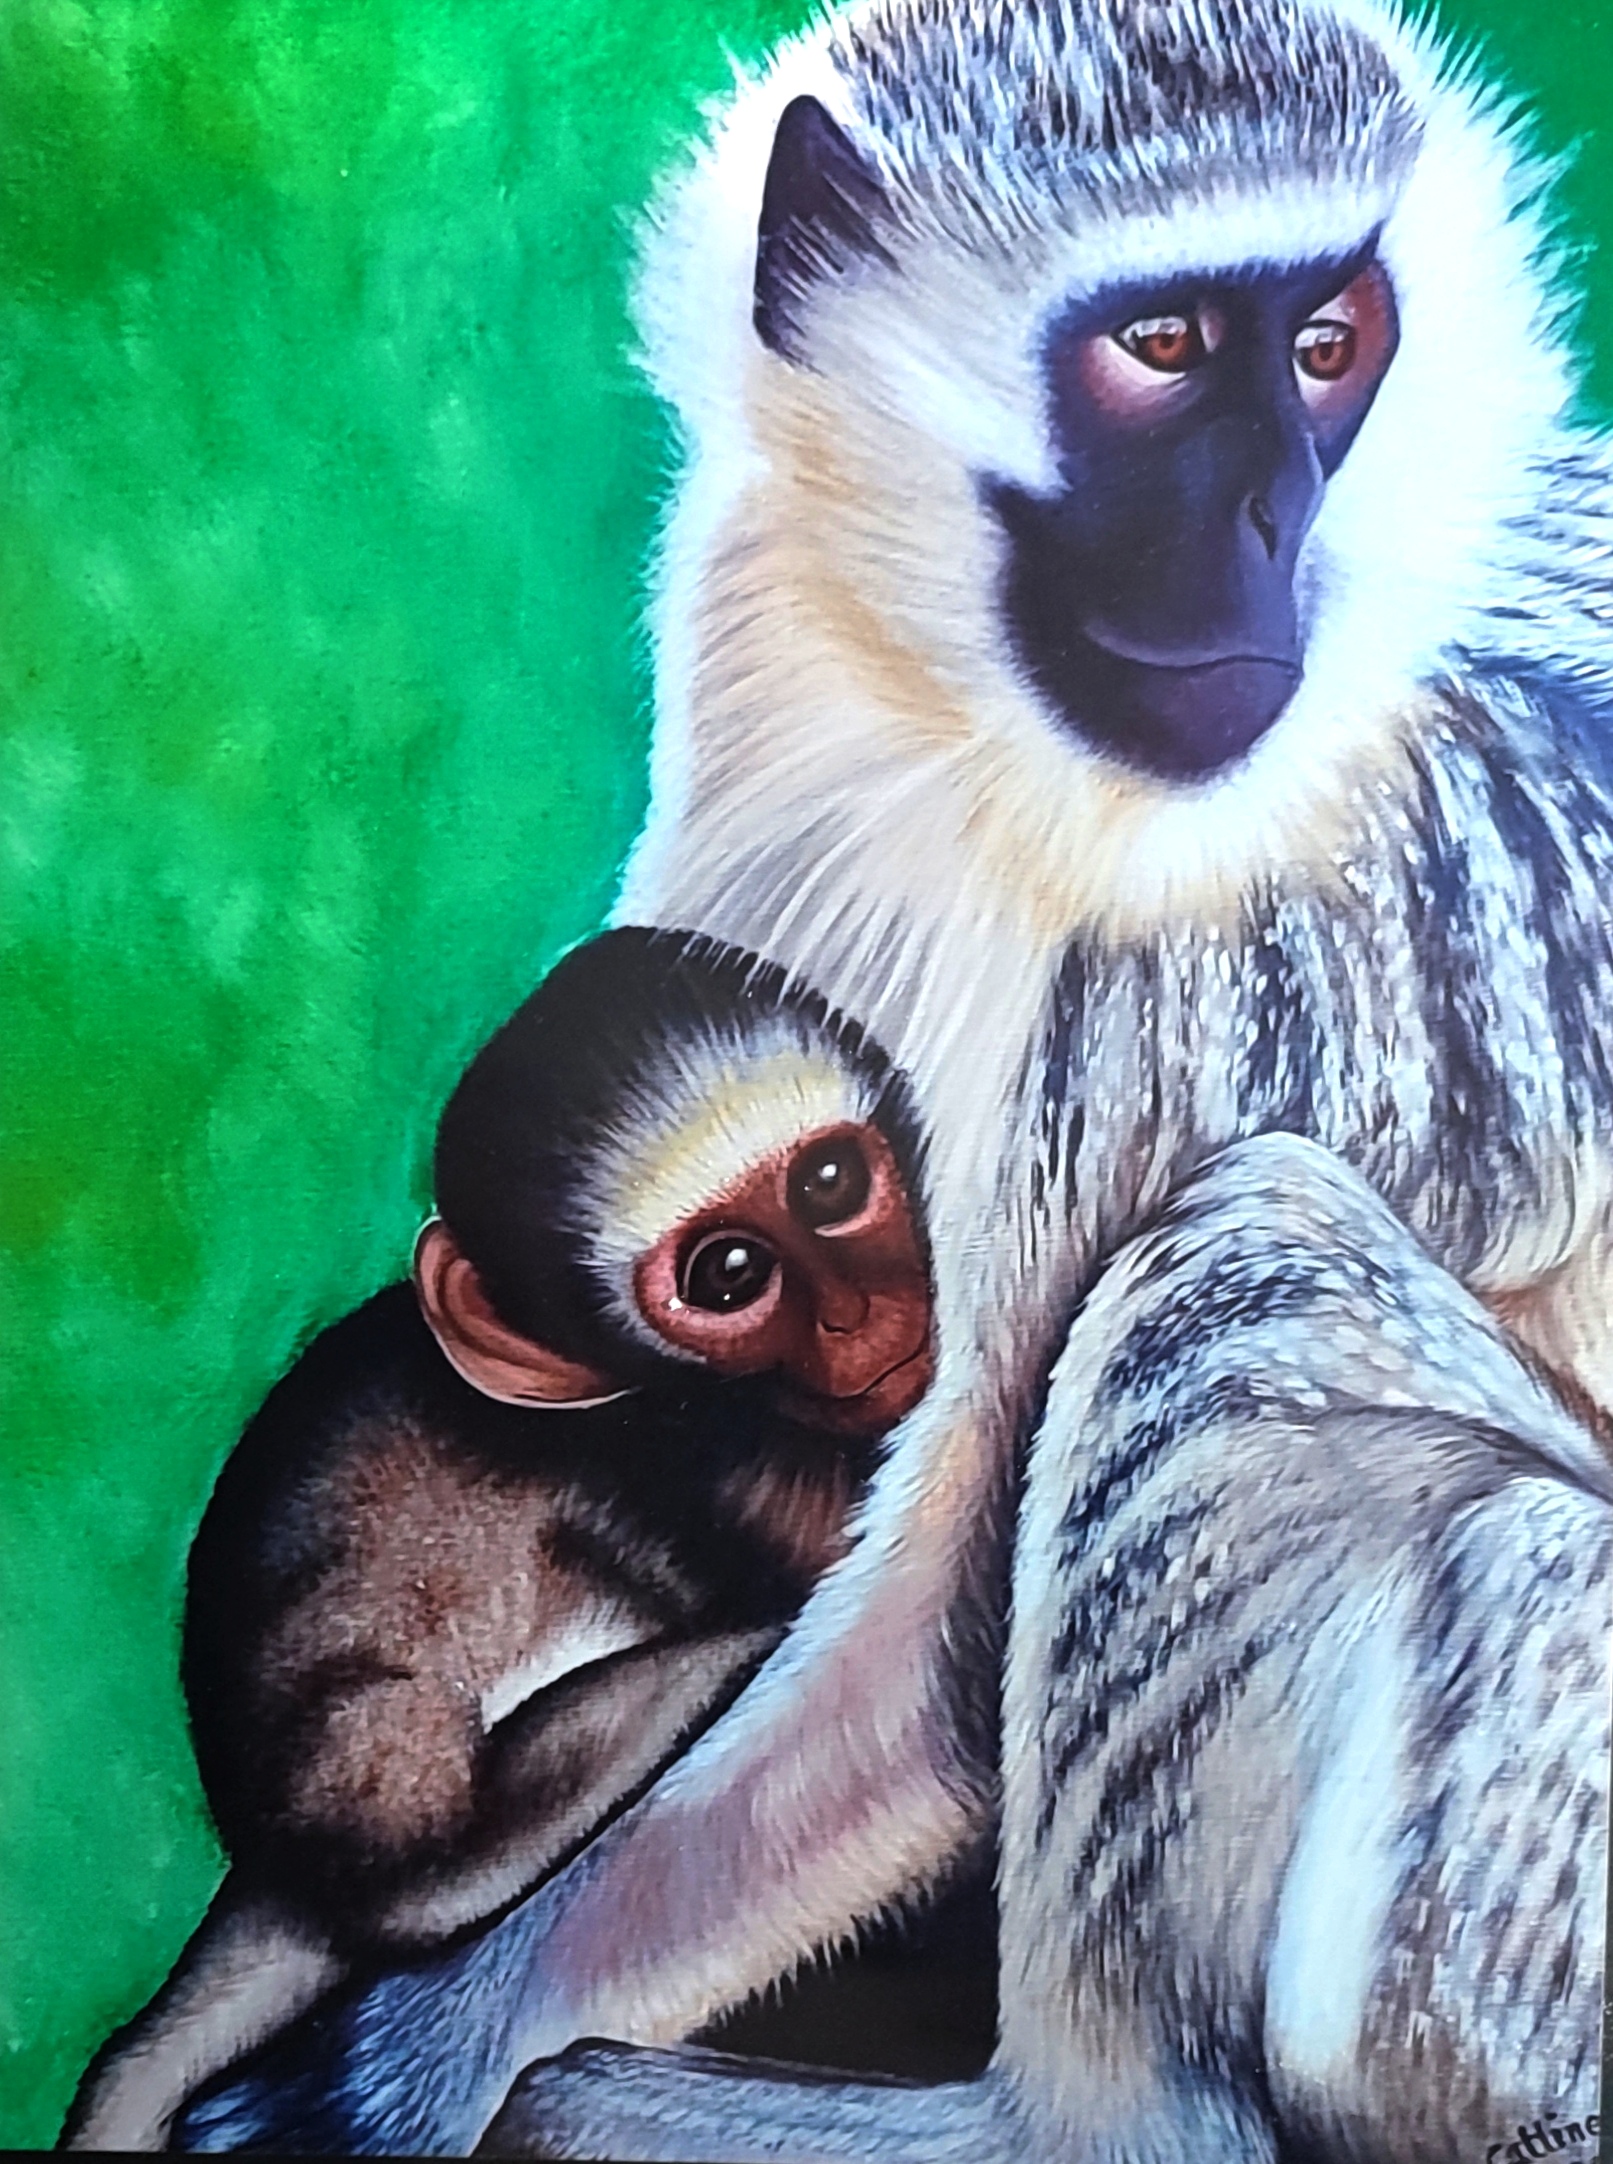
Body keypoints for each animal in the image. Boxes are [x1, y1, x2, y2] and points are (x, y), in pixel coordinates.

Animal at [62, 927, 934, 2152]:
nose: (860, 1313)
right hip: (385, 1795)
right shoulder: (690, 1478)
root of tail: (275, 1872)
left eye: (827, 1184)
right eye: (728, 1275)